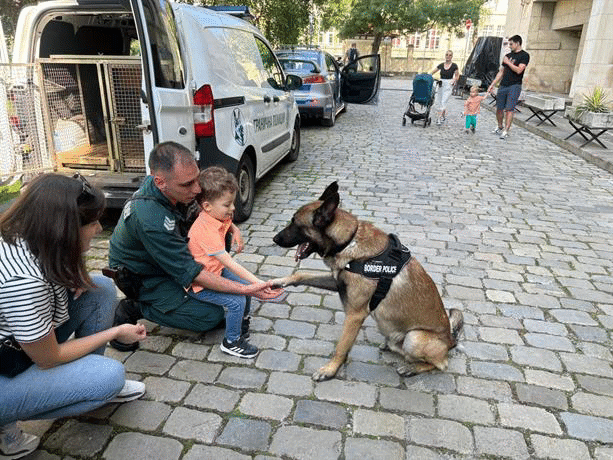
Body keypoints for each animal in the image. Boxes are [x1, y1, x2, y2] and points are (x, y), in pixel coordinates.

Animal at [270, 181, 462, 380]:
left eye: (295, 223)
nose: (274, 238)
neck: (348, 241)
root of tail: (451, 340)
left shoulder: (355, 315)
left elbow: (341, 346)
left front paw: (330, 369)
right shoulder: (336, 281)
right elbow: (301, 275)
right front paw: (279, 281)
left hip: (414, 338)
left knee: (440, 364)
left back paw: (412, 368)